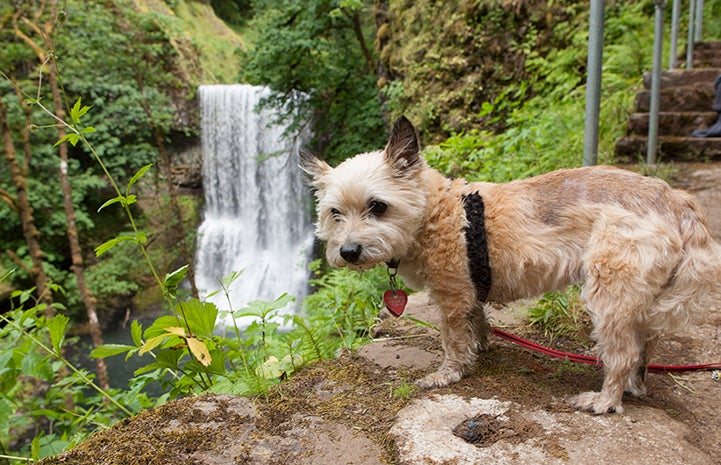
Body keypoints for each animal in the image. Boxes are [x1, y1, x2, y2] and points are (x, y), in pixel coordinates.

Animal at [298, 116, 720, 414]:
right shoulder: (469, 291)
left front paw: (448, 373)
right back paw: (634, 385)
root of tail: (675, 198)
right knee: (645, 344)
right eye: (335, 213)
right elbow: (478, 321)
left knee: (624, 352)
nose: (348, 251)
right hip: (636, 297)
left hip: (609, 293)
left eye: (378, 206)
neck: (436, 212)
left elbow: (453, 339)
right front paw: (481, 347)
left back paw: (605, 399)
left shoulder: (452, 296)